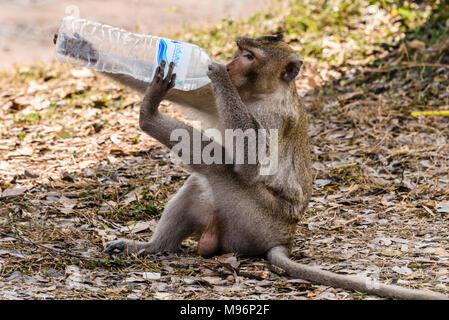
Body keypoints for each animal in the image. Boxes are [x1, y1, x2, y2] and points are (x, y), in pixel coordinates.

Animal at [55, 31, 444, 298]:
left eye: (248, 55)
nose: (228, 65)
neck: (263, 93)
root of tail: (285, 238)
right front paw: (81, 47)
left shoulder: (272, 114)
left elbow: (248, 165)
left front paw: (213, 73)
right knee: (200, 182)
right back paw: (152, 248)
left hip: (256, 217)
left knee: (217, 169)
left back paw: (148, 117)